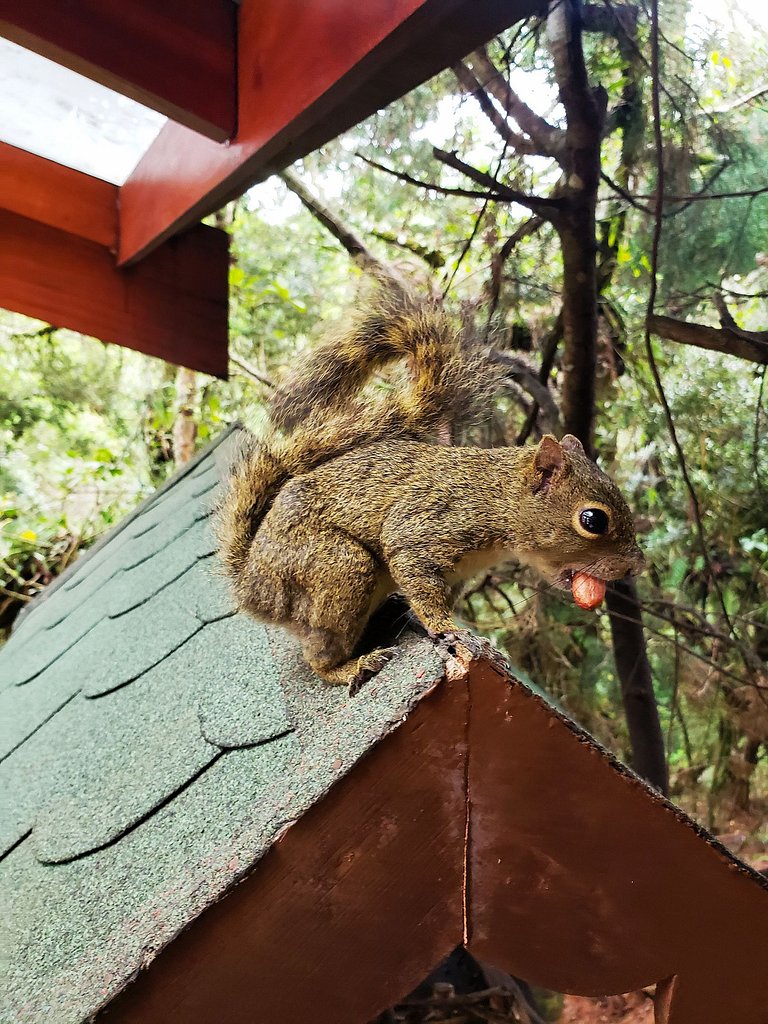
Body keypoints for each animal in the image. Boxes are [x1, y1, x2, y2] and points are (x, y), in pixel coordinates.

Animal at [217, 299, 643, 692]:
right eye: (593, 520)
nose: (635, 568)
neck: (497, 499)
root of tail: (251, 583)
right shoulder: (429, 526)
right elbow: (417, 575)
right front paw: (450, 630)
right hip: (337, 567)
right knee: (318, 657)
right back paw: (350, 667)